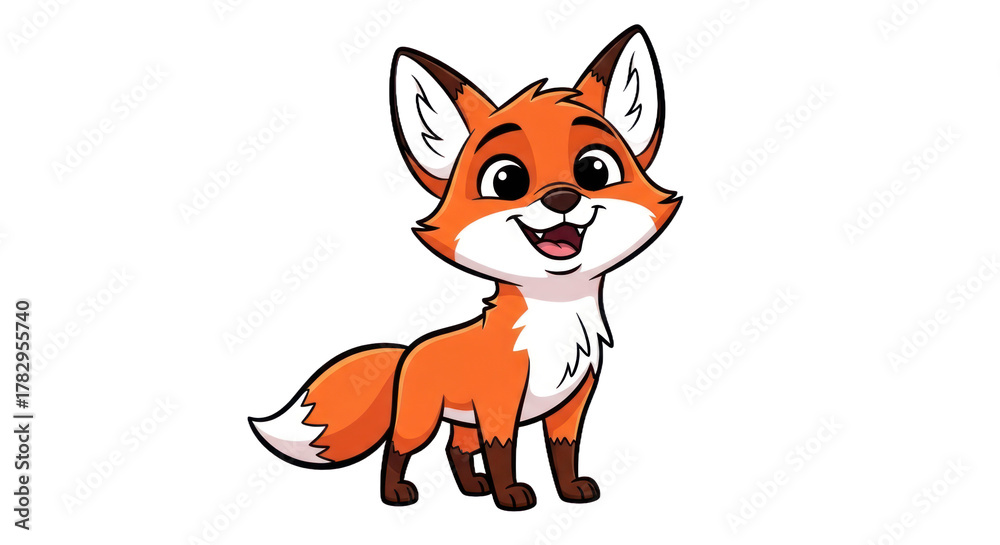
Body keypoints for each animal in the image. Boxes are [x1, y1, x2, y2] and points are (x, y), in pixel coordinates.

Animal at [249, 25, 681, 511]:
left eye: (593, 169)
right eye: (506, 179)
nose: (562, 198)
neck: (553, 323)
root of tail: (407, 351)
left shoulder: (571, 404)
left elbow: (563, 454)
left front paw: (571, 491)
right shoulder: (498, 407)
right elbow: (504, 454)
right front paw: (510, 495)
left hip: (461, 423)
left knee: (454, 449)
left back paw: (472, 487)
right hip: (422, 421)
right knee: (398, 450)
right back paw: (397, 494)